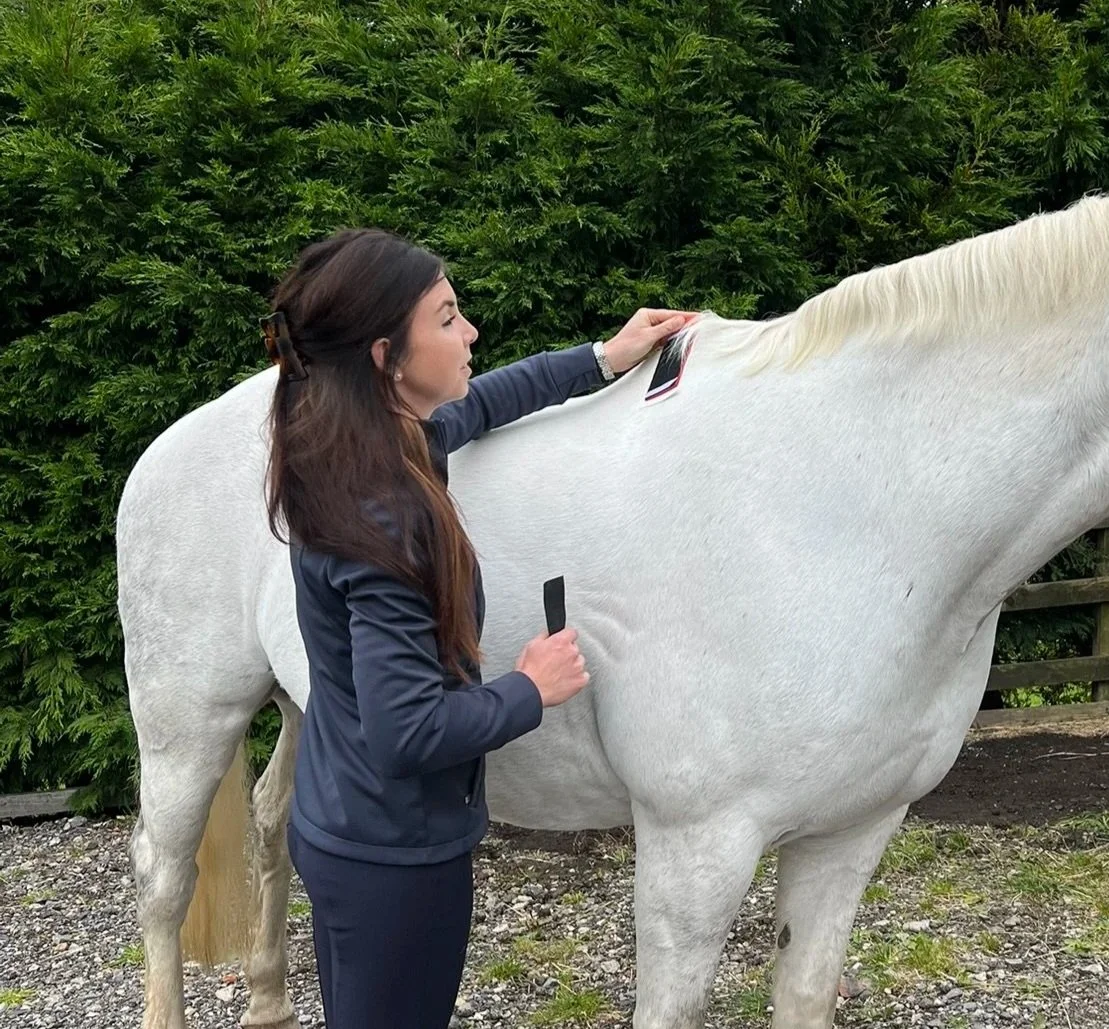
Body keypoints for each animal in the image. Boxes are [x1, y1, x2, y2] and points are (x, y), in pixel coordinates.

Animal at [116, 195, 1109, 1029]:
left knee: (275, 827)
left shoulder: (853, 831)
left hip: (302, 702)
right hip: (186, 719)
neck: (845, 500)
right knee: (162, 874)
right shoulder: (695, 846)